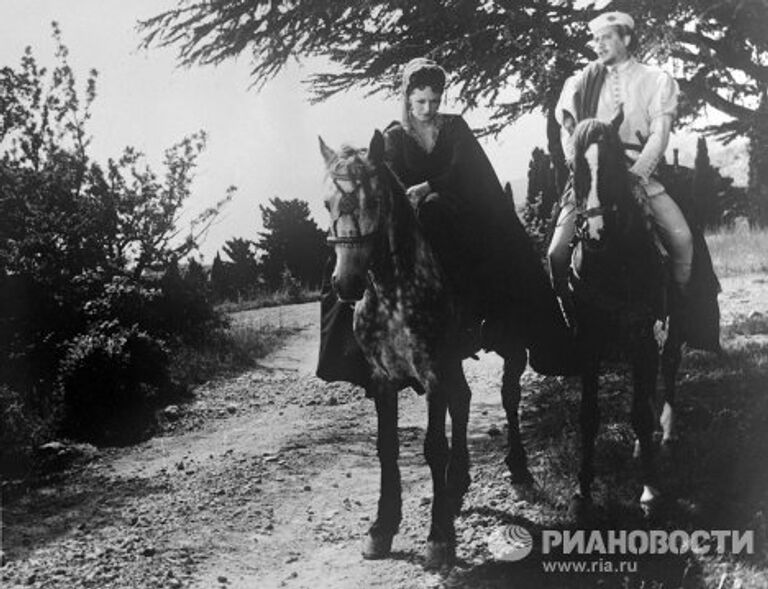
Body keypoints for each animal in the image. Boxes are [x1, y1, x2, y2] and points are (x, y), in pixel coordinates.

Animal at [318, 131, 536, 568]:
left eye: (375, 201)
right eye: (327, 204)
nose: (346, 283)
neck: (394, 294)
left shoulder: (433, 372)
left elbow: (434, 446)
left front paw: (439, 538)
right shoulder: (384, 379)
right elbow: (387, 448)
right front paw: (382, 528)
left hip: (511, 346)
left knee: (509, 398)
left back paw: (518, 471)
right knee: (464, 400)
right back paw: (457, 485)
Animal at [568, 110, 716, 516]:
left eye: (617, 165)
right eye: (574, 167)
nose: (595, 233)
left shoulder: (639, 332)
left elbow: (637, 410)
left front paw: (649, 490)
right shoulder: (588, 341)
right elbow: (588, 415)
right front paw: (582, 491)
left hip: (673, 320)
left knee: (669, 363)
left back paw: (664, 431)